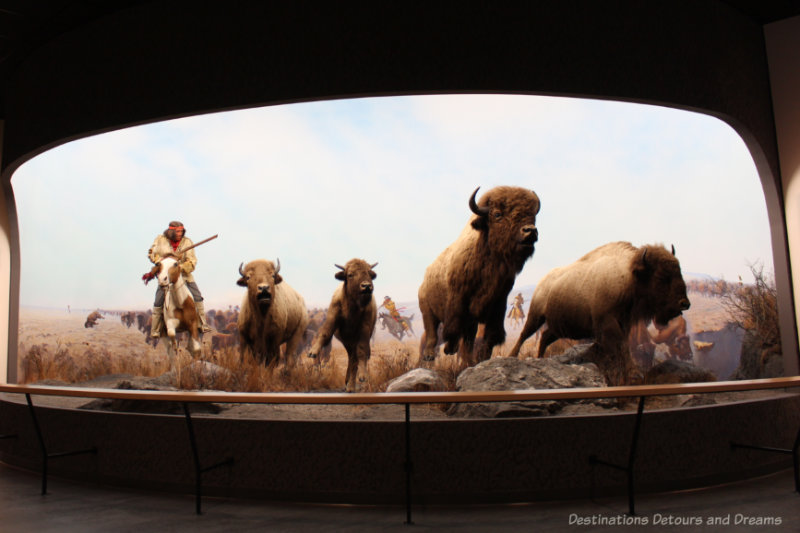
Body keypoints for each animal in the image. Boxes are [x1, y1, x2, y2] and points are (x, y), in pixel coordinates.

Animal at [310, 260, 378, 392]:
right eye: (350, 274)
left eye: (369, 273)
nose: (366, 286)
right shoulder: (333, 318)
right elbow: (325, 333)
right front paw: (313, 351)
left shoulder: (364, 330)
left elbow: (361, 351)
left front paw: (362, 376)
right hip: (347, 341)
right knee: (351, 357)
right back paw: (347, 382)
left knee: (354, 358)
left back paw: (350, 384)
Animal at [418, 186, 536, 366]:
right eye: (497, 214)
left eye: (533, 214)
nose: (530, 231)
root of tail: (424, 279)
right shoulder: (462, 303)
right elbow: (462, 334)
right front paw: (462, 358)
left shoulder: (497, 304)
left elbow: (490, 336)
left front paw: (480, 359)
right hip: (427, 310)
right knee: (432, 333)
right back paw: (431, 355)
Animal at [510, 243, 692, 384]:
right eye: (661, 277)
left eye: (679, 271)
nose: (684, 304)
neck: (629, 275)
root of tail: (542, 281)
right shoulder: (608, 323)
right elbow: (622, 346)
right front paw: (633, 374)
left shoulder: (623, 323)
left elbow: (623, 346)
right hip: (536, 316)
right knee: (525, 334)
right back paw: (513, 356)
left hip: (559, 328)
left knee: (545, 336)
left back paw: (540, 358)